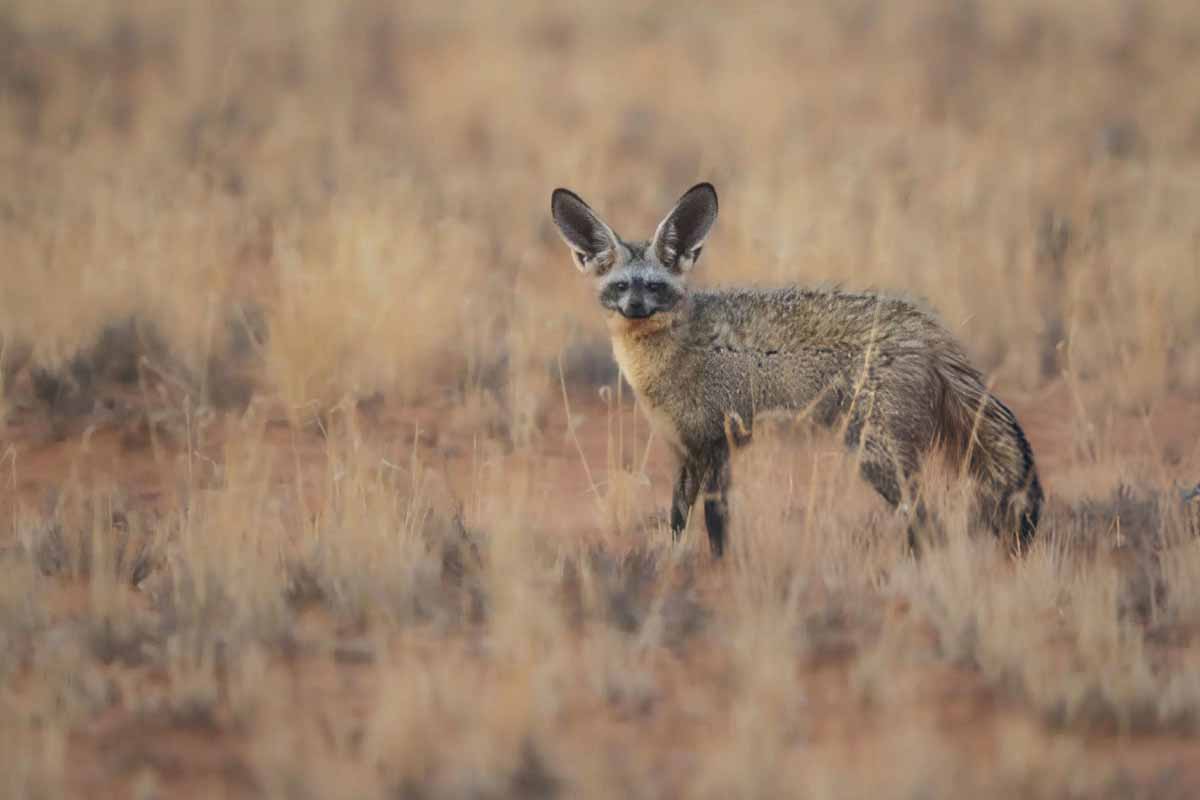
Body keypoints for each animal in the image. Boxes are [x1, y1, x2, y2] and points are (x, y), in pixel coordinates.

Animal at [550, 182, 1043, 558]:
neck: (666, 358)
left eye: (654, 287)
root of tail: (929, 327)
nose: (635, 307)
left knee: (926, 521)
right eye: (620, 287)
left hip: (875, 454)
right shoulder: (690, 450)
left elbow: (713, 520)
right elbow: (679, 518)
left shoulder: (713, 443)